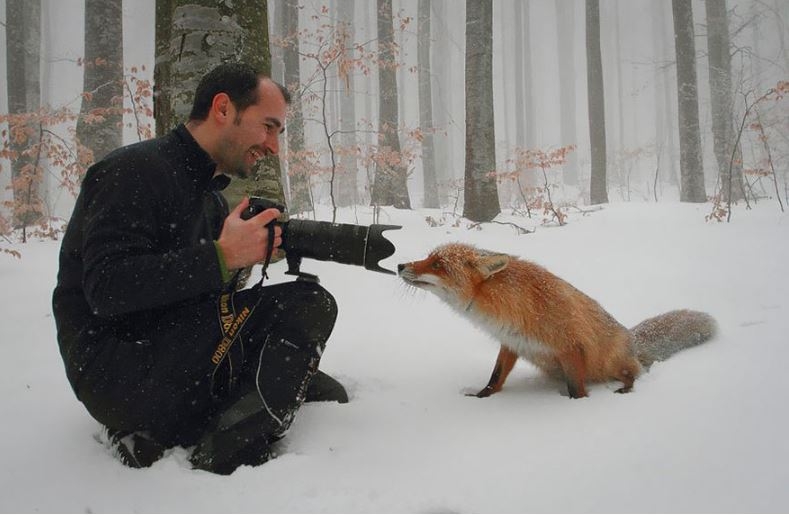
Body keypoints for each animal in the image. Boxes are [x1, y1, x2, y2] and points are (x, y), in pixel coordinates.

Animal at [398, 243, 716, 400]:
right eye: (428, 257)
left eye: (438, 264)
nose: (400, 265)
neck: (513, 306)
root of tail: (632, 338)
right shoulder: (511, 343)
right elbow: (495, 378)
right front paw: (481, 398)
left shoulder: (571, 347)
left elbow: (577, 390)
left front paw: (576, 408)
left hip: (612, 362)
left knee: (634, 373)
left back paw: (626, 389)